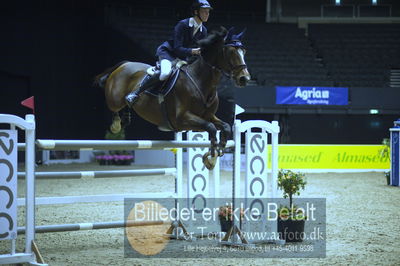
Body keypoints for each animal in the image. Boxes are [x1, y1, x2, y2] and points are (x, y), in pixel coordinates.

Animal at [94, 26, 250, 168]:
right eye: (231, 52)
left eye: (244, 51)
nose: (244, 79)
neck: (200, 81)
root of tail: (124, 64)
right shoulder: (182, 119)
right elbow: (211, 128)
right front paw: (211, 159)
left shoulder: (207, 116)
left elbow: (225, 127)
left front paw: (215, 154)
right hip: (114, 99)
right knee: (114, 106)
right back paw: (117, 123)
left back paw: (126, 116)